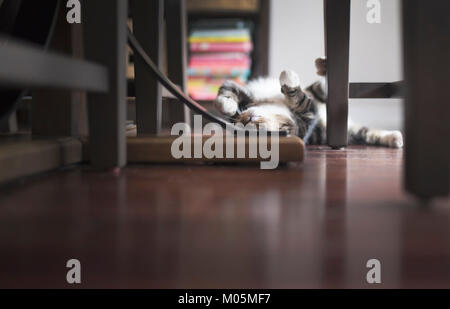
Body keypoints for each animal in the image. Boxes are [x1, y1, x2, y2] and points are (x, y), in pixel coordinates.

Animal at [214, 58, 404, 148]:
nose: (247, 120)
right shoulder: (308, 118)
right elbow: (302, 101)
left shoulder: (246, 92)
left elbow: (225, 92)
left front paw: (229, 107)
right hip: (350, 132)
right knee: (367, 133)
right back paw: (395, 138)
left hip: (321, 92)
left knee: (323, 85)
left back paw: (323, 64)